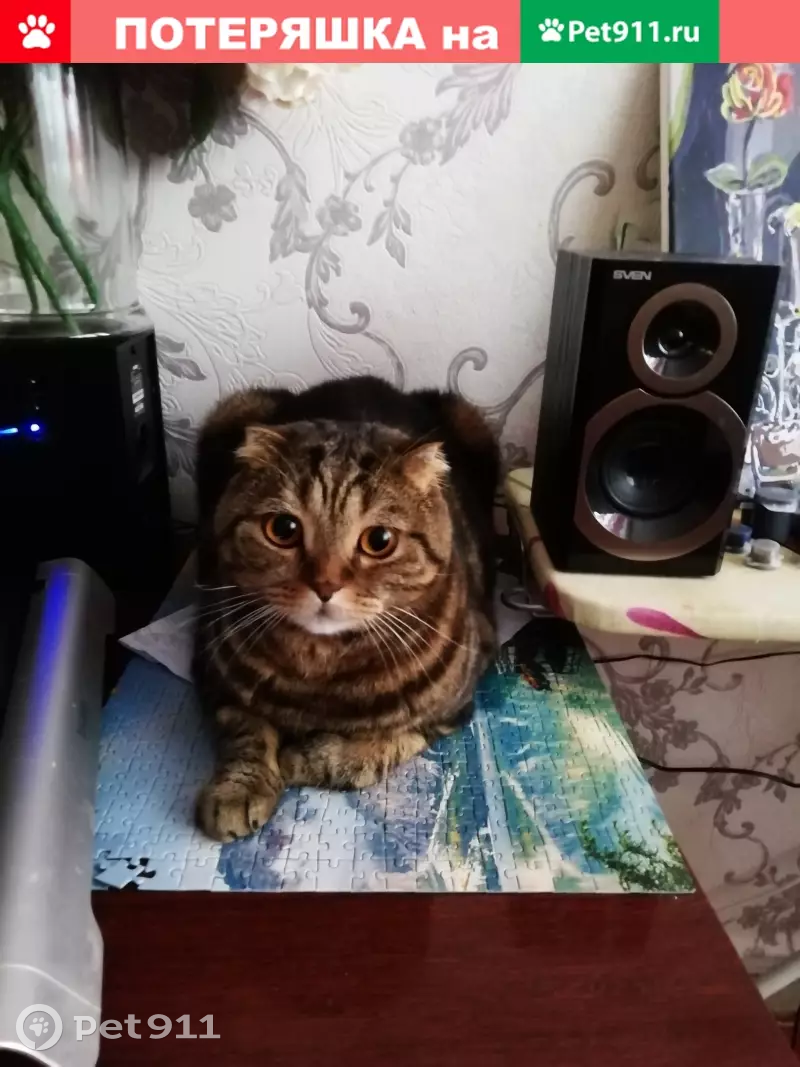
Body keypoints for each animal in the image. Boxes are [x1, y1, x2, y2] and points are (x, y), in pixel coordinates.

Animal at [193, 376, 499, 841]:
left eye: (380, 541)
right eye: (283, 529)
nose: (325, 585)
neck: (322, 671)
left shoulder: (458, 703)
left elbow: (381, 745)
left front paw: (303, 757)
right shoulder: (212, 674)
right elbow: (246, 729)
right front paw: (237, 789)